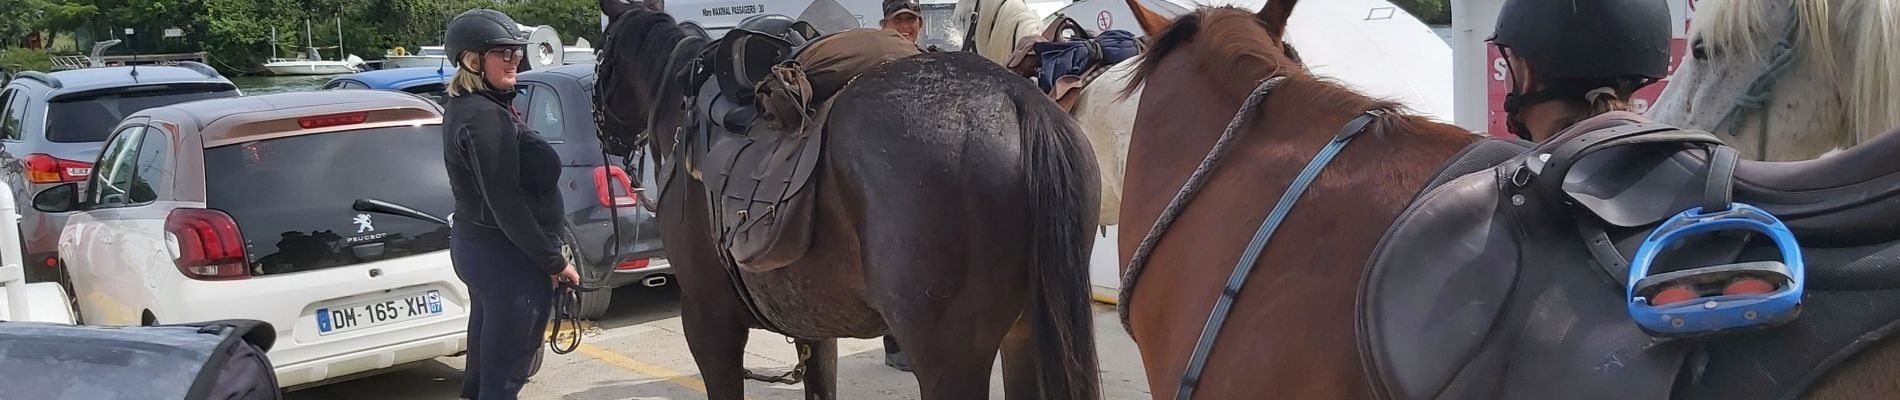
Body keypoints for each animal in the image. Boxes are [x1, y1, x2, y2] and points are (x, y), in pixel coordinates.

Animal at [589, 1, 1102, 398]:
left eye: (601, 54)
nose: (608, 133)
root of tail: (1017, 97)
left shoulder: (707, 321)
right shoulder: (814, 331)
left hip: (951, 359)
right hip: (1025, 336)